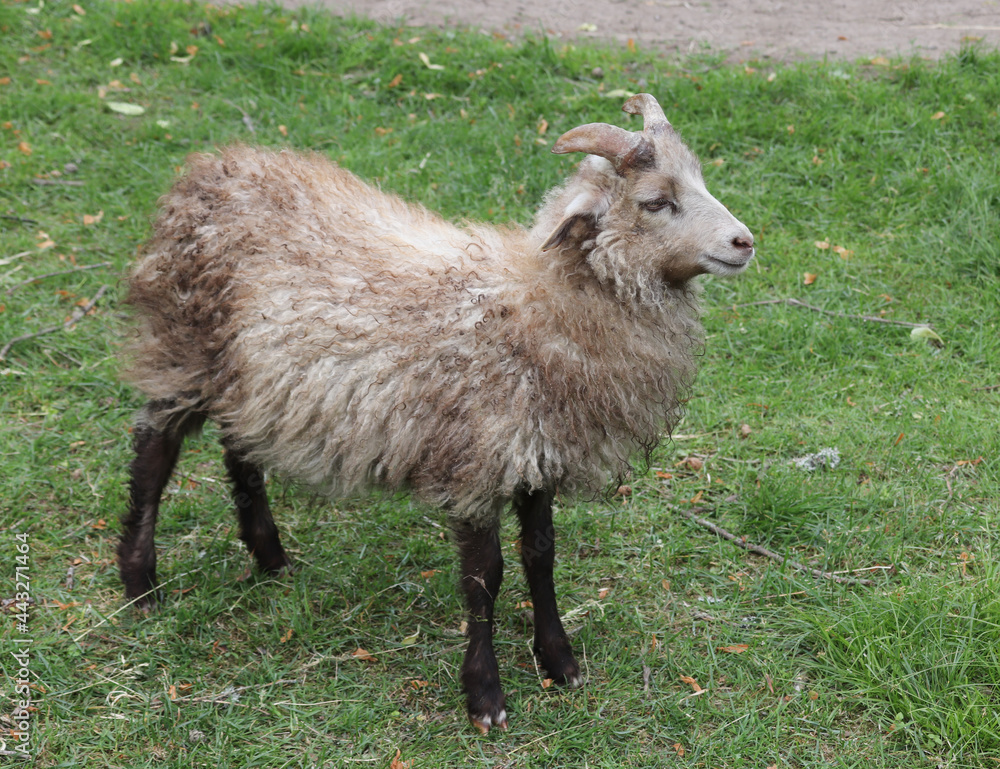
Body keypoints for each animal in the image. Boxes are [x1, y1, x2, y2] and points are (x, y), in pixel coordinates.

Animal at [118, 93, 755, 733]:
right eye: (656, 201)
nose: (744, 242)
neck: (538, 307)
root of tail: (209, 170)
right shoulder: (473, 460)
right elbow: (485, 578)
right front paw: (486, 696)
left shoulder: (537, 453)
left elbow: (541, 556)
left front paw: (559, 662)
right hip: (184, 349)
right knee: (153, 450)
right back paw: (140, 583)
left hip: (253, 377)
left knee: (239, 447)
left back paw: (270, 558)